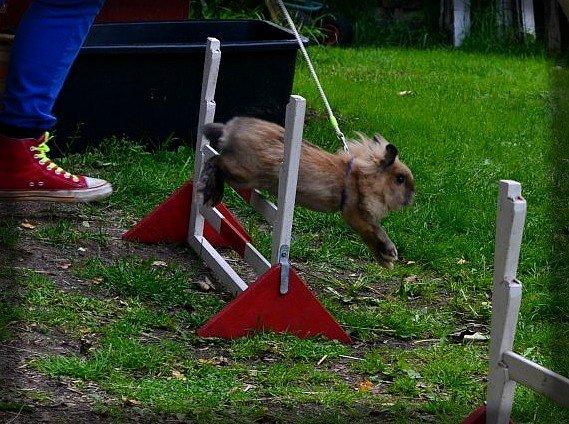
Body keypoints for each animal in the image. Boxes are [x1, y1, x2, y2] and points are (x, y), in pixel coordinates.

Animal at [199, 116, 412, 268]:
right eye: (400, 179)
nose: (411, 198)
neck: (363, 177)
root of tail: (229, 130)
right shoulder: (356, 214)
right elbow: (376, 232)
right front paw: (390, 255)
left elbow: (370, 236)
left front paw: (385, 261)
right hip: (244, 173)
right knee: (216, 161)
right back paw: (210, 191)